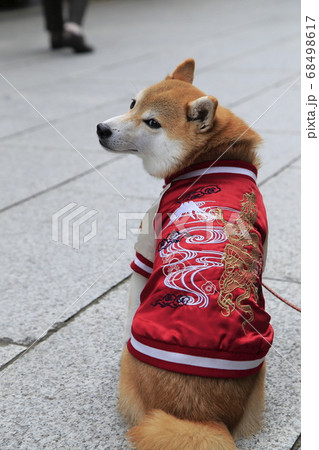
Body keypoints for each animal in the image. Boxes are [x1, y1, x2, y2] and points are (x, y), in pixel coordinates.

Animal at [97, 59, 276, 450]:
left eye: (152, 123)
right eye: (133, 103)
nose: (101, 128)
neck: (208, 160)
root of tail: (197, 417)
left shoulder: (145, 251)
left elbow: (132, 301)